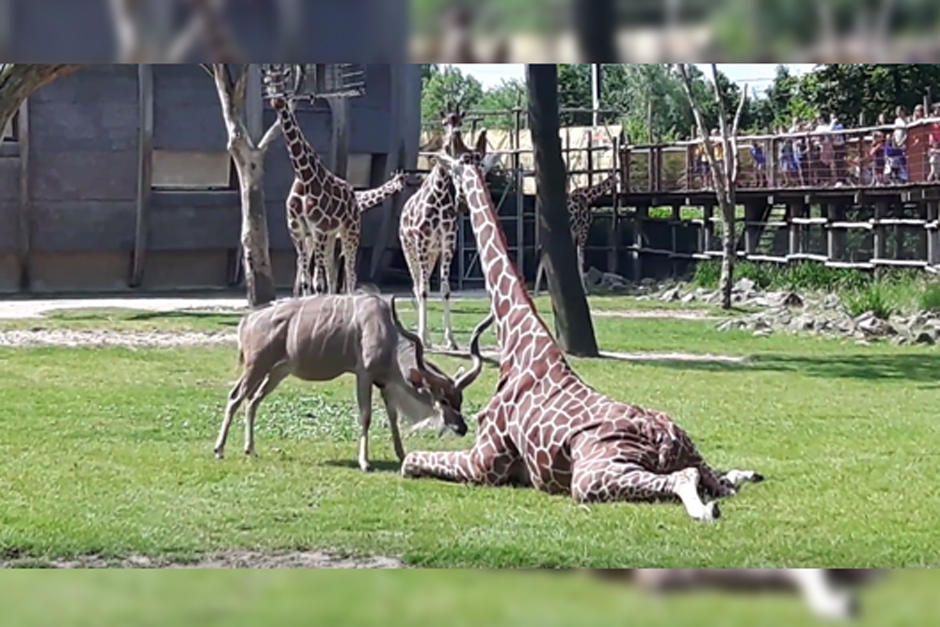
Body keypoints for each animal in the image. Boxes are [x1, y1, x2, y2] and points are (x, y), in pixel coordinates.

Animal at [263, 64, 404, 296]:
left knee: (349, 274)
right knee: (323, 274)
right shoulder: (298, 230)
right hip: (328, 238)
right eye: (268, 81)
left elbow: (321, 282)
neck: (304, 175)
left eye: (282, 81)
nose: (277, 101)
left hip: (350, 232)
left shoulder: (319, 230)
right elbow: (310, 281)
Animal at [400, 147, 764, 522]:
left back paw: (705, 510)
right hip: (690, 451)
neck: (515, 342)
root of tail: (667, 439)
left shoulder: (484, 461)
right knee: (721, 480)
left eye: (456, 169)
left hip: (593, 475)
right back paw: (741, 478)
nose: (455, 201)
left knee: (684, 476)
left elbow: (409, 460)